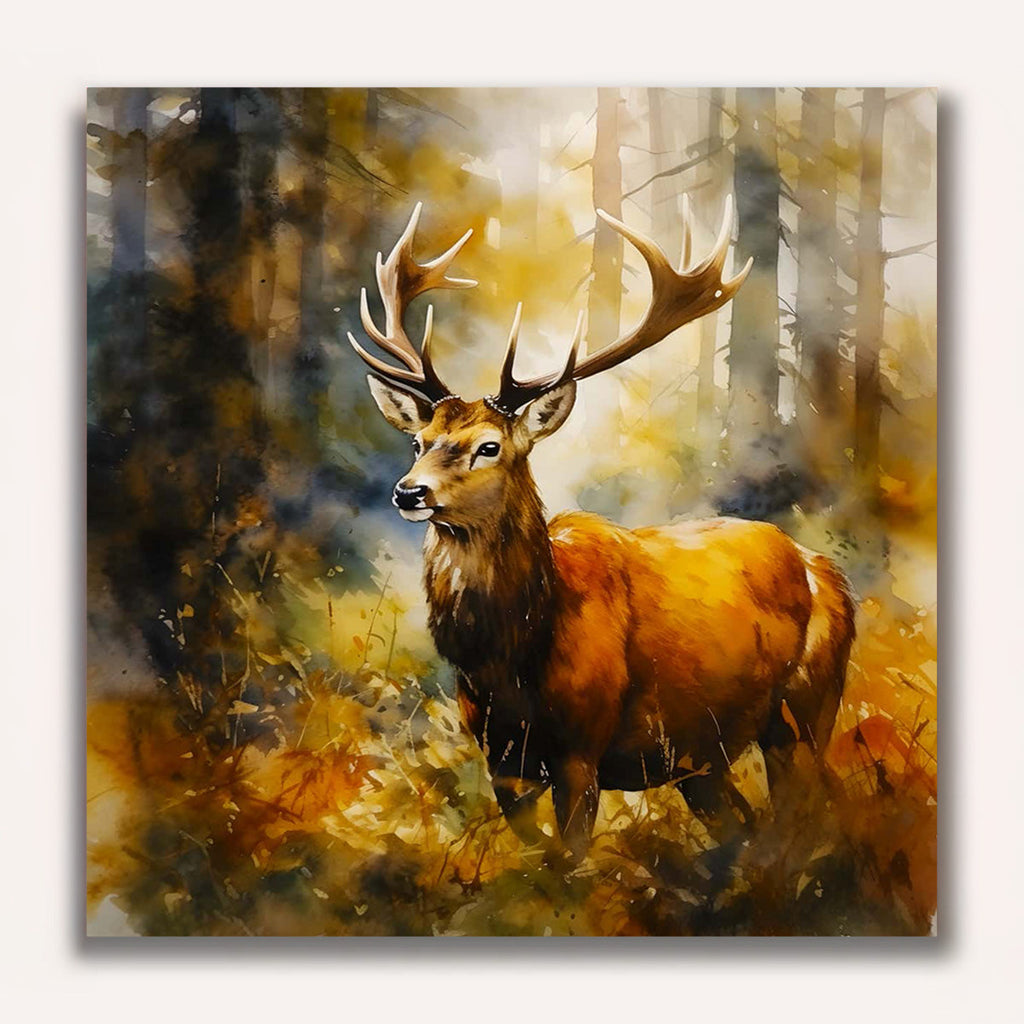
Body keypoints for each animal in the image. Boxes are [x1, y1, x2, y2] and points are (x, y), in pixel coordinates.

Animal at [347, 201, 856, 861]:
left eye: (489, 446)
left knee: (806, 815)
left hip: (807, 711)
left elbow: (570, 859)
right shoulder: (501, 760)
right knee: (747, 825)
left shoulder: (581, 751)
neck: (512, 660)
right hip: (703, 759)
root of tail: (824, 570)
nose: (409, 492)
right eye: (419, 441)